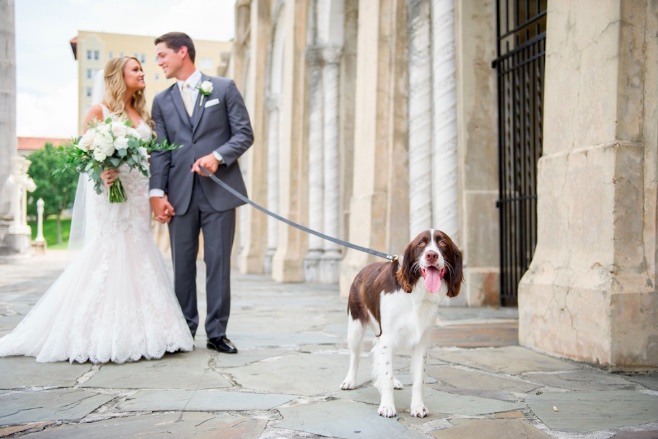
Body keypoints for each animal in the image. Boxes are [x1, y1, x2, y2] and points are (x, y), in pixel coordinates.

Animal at [338, 230, 462, 420]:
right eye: (421, 244)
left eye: (442, 243)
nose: (431, 255)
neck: (415, 293)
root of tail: (364, 268)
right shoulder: (387, 337)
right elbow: (385, 373)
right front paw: (387, 406)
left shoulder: (421, 341)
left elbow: (418, 379)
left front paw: (418, 407)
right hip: (355, 325)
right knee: (355, 355)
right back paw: (350, 381)